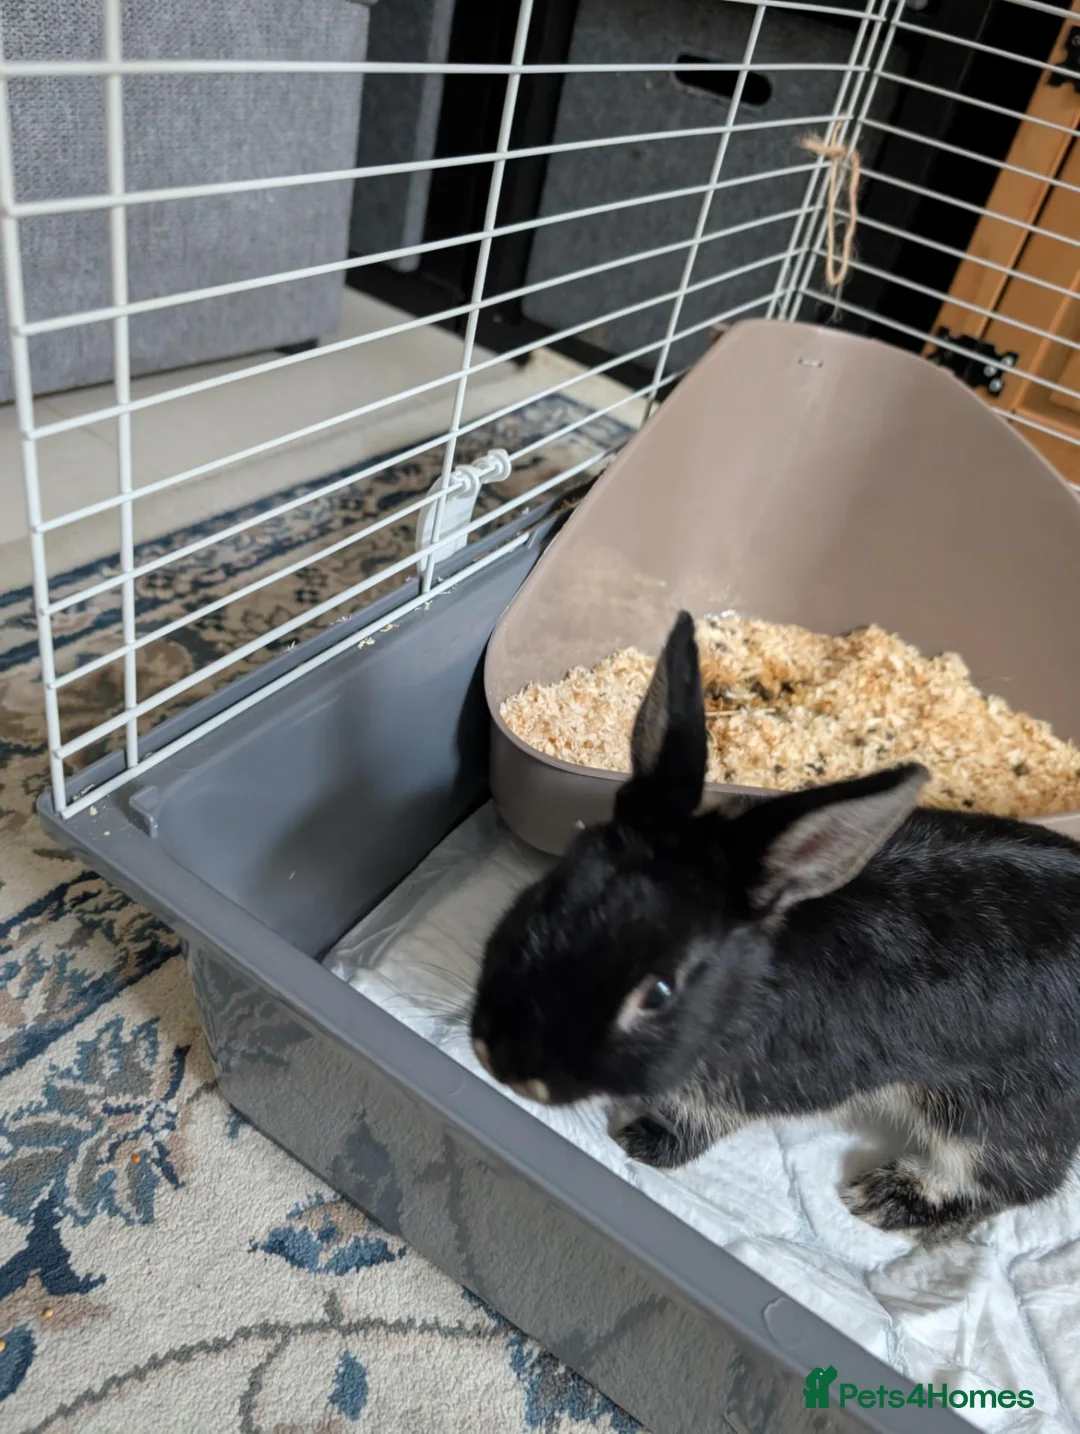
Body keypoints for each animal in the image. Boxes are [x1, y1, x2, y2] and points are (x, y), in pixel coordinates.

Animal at [470, 610, 1080, 1241]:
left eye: (659, 992)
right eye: (549, 892)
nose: (501, 1061)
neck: (743, 993)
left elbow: (703, 1117)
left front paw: (643, 1142)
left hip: (994, 1110)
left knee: (1018, 1178)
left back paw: (888, 1197)